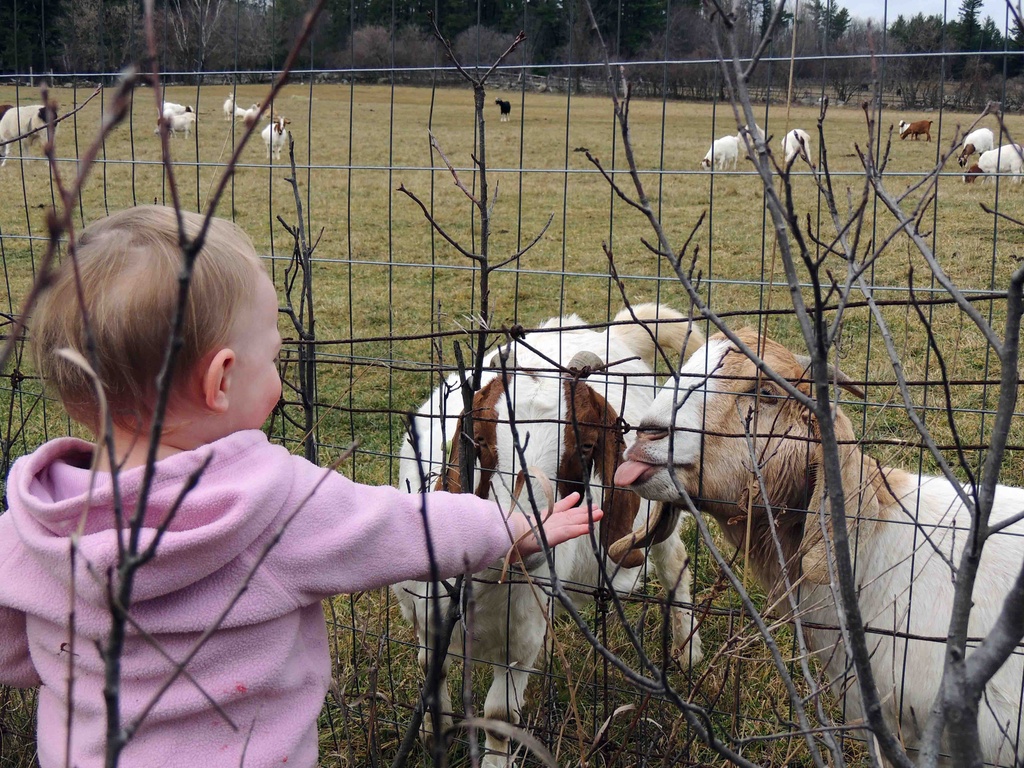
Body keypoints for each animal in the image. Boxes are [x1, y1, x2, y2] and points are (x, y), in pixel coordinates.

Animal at [395, 305, 708, 768]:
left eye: (586, 447)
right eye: (481, 439)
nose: (522, 536)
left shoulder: (523, 635)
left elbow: (500, 715)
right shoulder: (425, 614)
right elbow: (430, 672)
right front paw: (435, 736)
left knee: (673, 562)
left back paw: (688, 651)